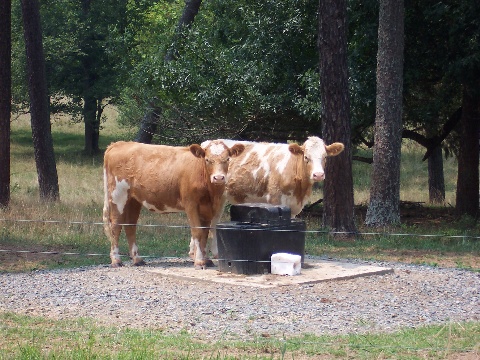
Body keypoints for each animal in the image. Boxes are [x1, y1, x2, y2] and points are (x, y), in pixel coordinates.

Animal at [101, 139, 244, 268]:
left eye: (227, 159)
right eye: (208, 160)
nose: (218, 178)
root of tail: (119, 144)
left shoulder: (208, 208)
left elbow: (205, 233)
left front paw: (206, 260)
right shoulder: (191, 204)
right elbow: (197, 231)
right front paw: (199, 262)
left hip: (133, 200)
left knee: (130, 226)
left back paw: (137, 259)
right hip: (118, 195)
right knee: (116, 226)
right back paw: (116, 260)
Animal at [191, 136, 344, 258]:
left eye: (325, 157)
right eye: (306, 157)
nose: (318, 174)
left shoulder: (294, 207)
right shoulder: (275, 199)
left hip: (221, 198)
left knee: (214, 222)